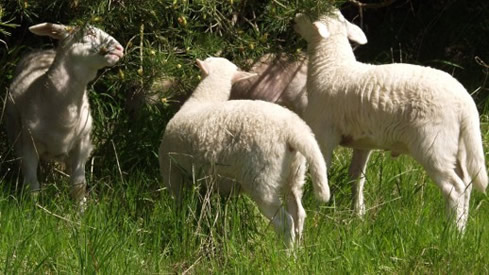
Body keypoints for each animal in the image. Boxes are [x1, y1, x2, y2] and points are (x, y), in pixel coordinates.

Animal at [5, 22, 124, 206]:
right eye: (88, 34)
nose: (119, 49)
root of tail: (42, 50)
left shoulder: (82, 145)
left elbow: (78, 185)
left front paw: (81, 210)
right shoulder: (28, 145)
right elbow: (32, 184)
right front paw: (32, 208)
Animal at [158, 57, 330, 247]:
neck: (202, 100)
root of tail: (294, 130)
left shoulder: (171, 168)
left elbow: (177, 200)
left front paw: (177, 218)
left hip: (262, 179)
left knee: (285, 222)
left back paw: (286, 252)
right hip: (295, 173)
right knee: (299, 213)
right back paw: (298, 250)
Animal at [292, 9, 486, 232]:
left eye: (308, 17)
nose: (294, 19)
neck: (331, 68)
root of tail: (466, 102)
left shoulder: (324, 135)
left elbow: (320, 170)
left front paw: (317, 210)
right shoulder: (363, 143)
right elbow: (356, 177)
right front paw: (358, 214)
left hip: (434, 144)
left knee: (455, 188)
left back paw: (451, 232)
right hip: (458, 144)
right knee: (467, 183)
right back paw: (461, 229)